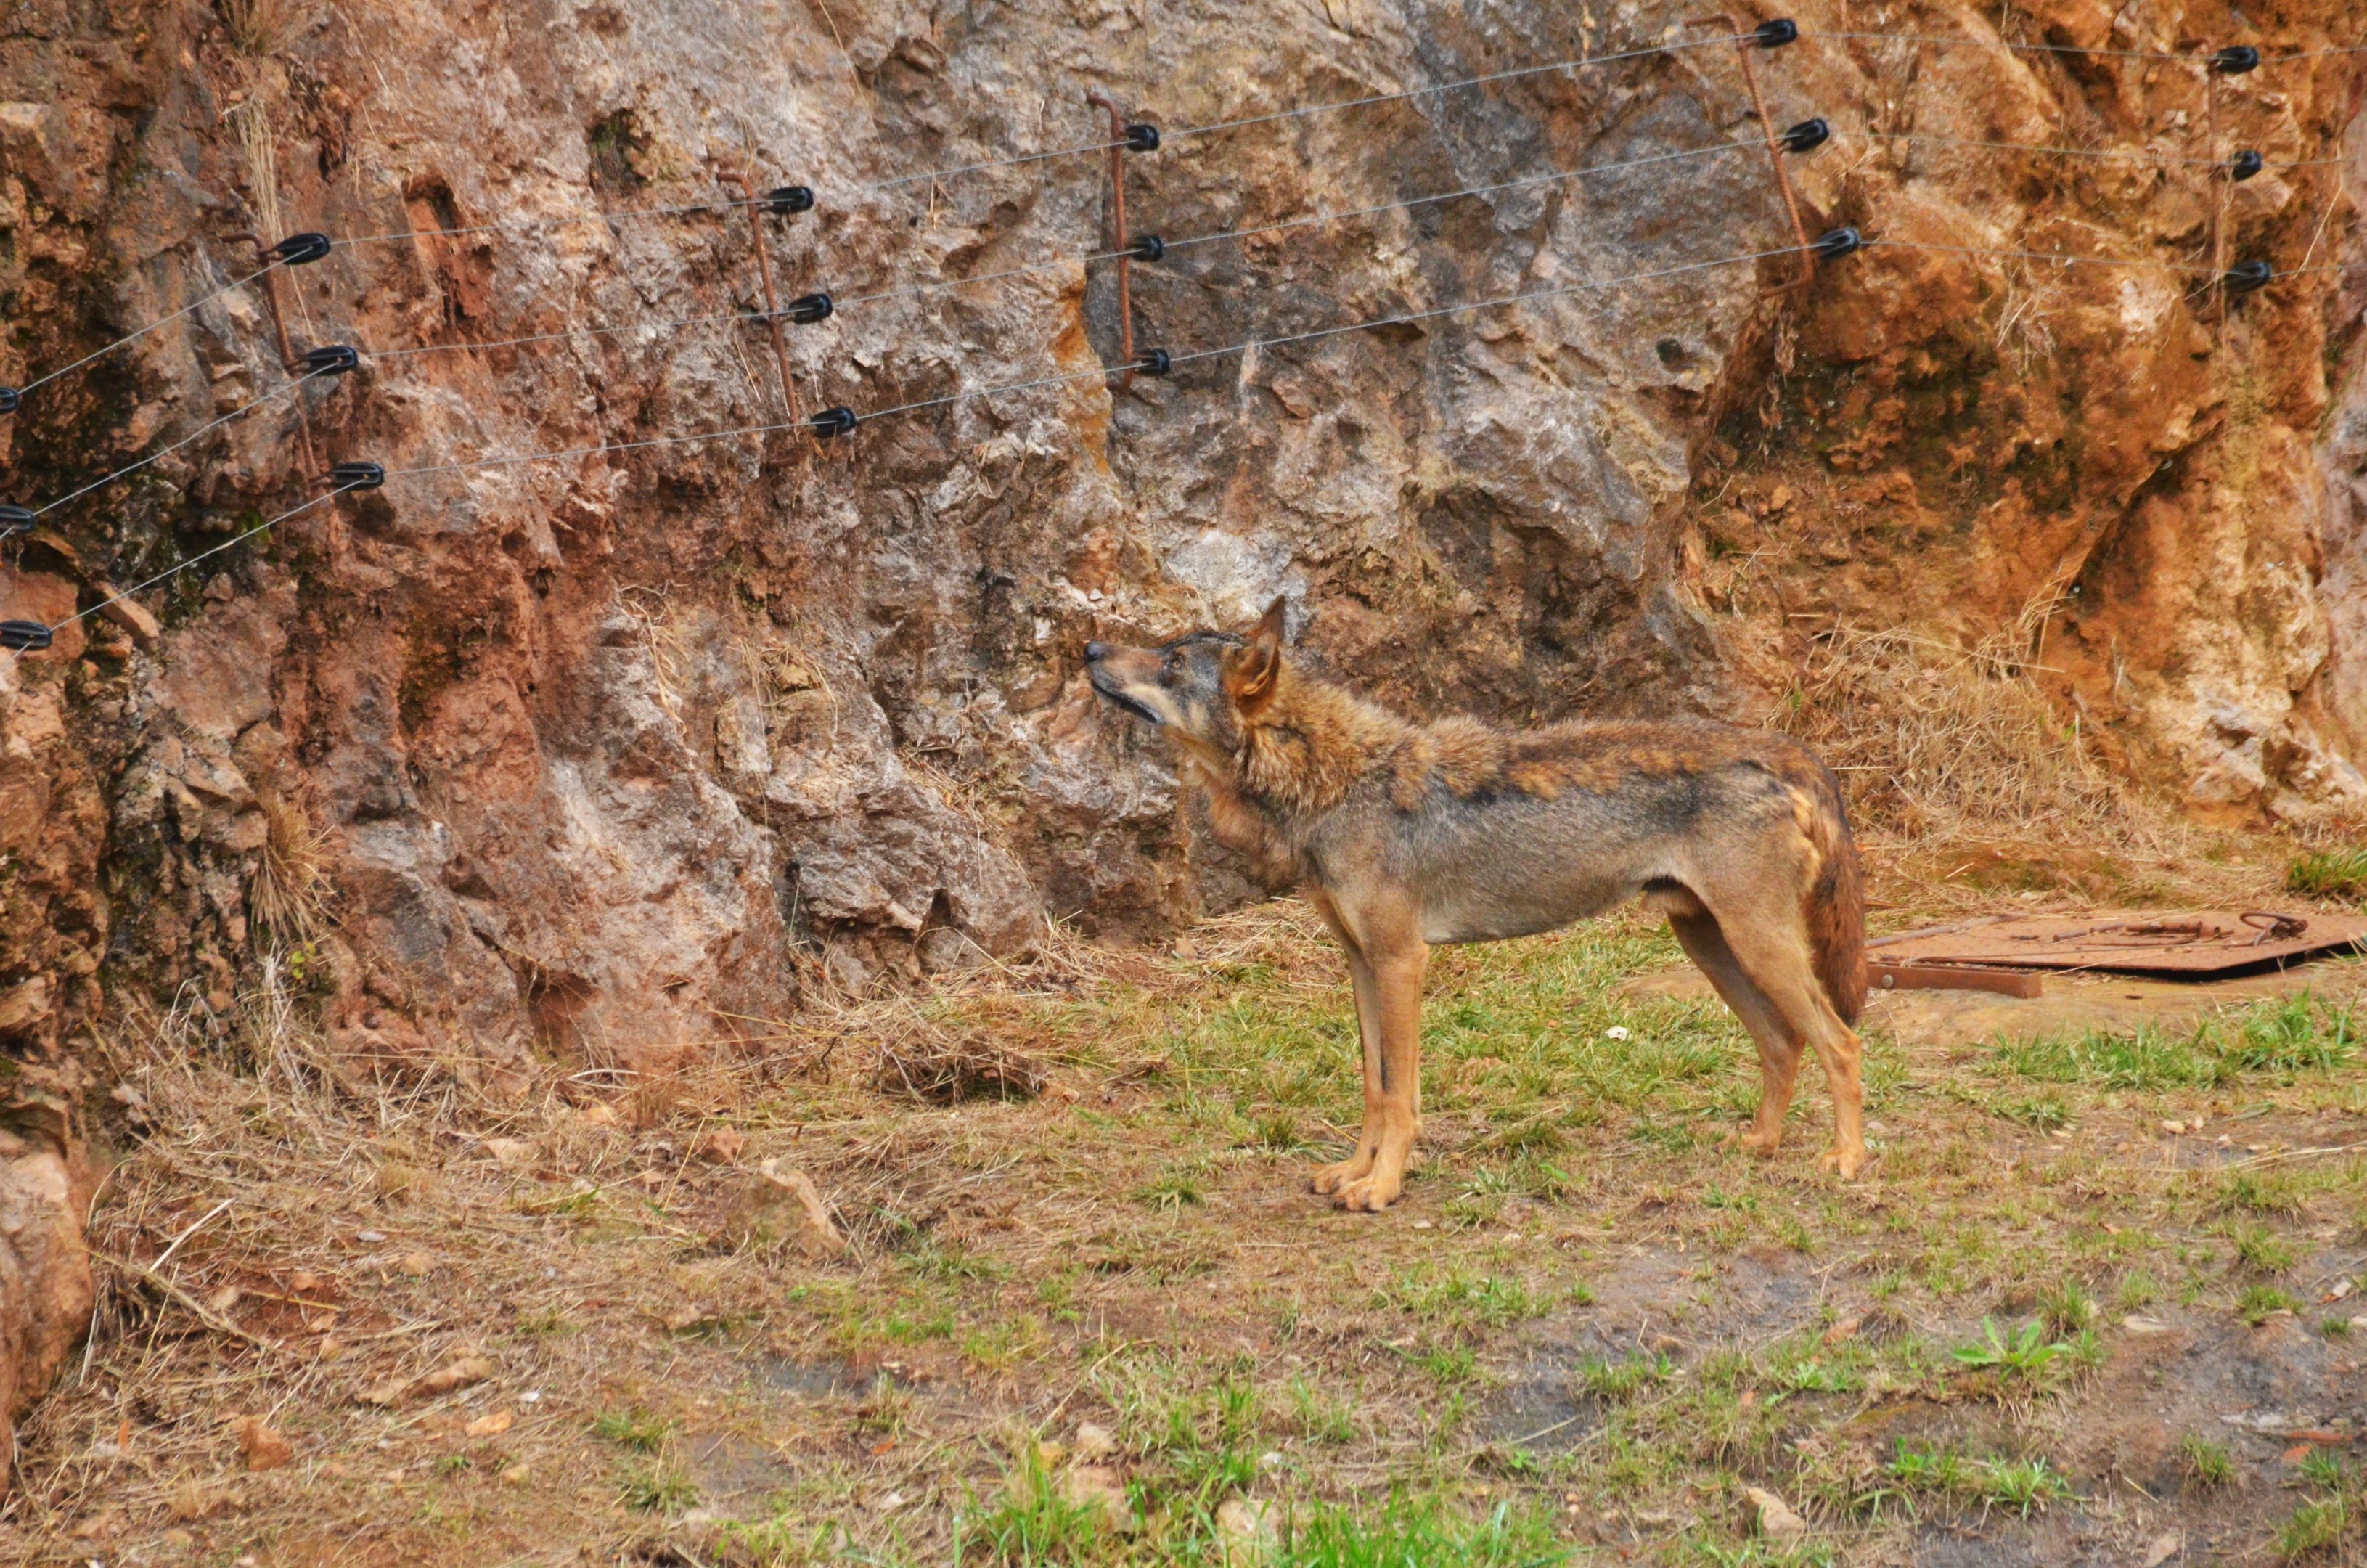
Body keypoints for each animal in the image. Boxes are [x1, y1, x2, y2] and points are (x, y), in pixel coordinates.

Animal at [1084, 598, 1866, 1212]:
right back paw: (1759, 1143)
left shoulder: (1402, 961)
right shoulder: (1360, 964)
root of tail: (1779, 749)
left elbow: (1400, 1096)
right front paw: (1353, 1172)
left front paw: (1382, 1189)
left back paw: (1846, 1161)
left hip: (1757, 946)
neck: (1336, 781)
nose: (1088, 647)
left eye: (1171, 663)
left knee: (1840, 1041)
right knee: (1783, 1042)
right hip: (1711, 946)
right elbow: (1373, 1086)